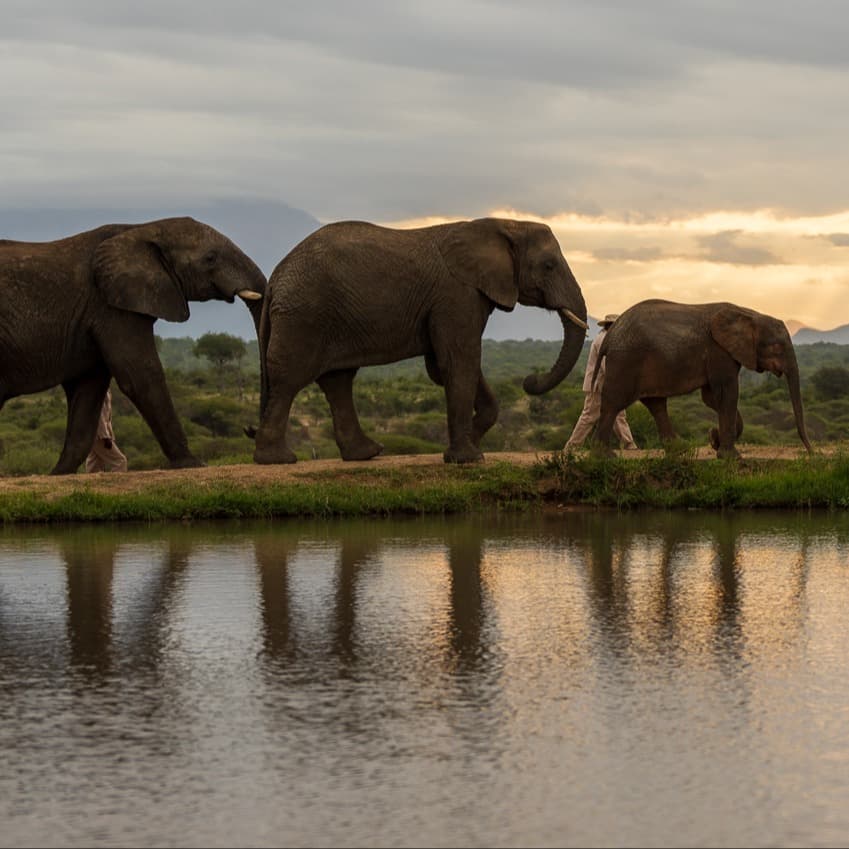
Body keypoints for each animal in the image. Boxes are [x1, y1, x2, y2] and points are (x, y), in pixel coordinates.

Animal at [0, 217, 266, 474]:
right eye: (210, 257)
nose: (249, 428)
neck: (142, 229)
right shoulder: (112, 307)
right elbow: (141, 375)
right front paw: (192, 463)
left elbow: (88, 388)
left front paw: (59, 473)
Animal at [251, 217, 588, 464]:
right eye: (548, 265)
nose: (530, 381)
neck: (502, 224)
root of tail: (276, 277)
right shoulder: (456, 295)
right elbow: (459, 361)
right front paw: (467, 458)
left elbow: (448, 365)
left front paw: (471, 443)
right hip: (304, 316)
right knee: (291, 379)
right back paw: (277, 459)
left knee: (337, 382)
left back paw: (366, 453)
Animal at [591, 299, 813, 458]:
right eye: (776, 347)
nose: (812, 453)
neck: (749, 314)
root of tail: (609, 336)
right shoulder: (719, 351)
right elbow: (727, 393)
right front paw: (731, 456)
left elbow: (712, 399)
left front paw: (716, 442)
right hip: (626, 360)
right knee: (615, 402)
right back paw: (605, 456)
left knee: (655, 404)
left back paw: (680, 450)